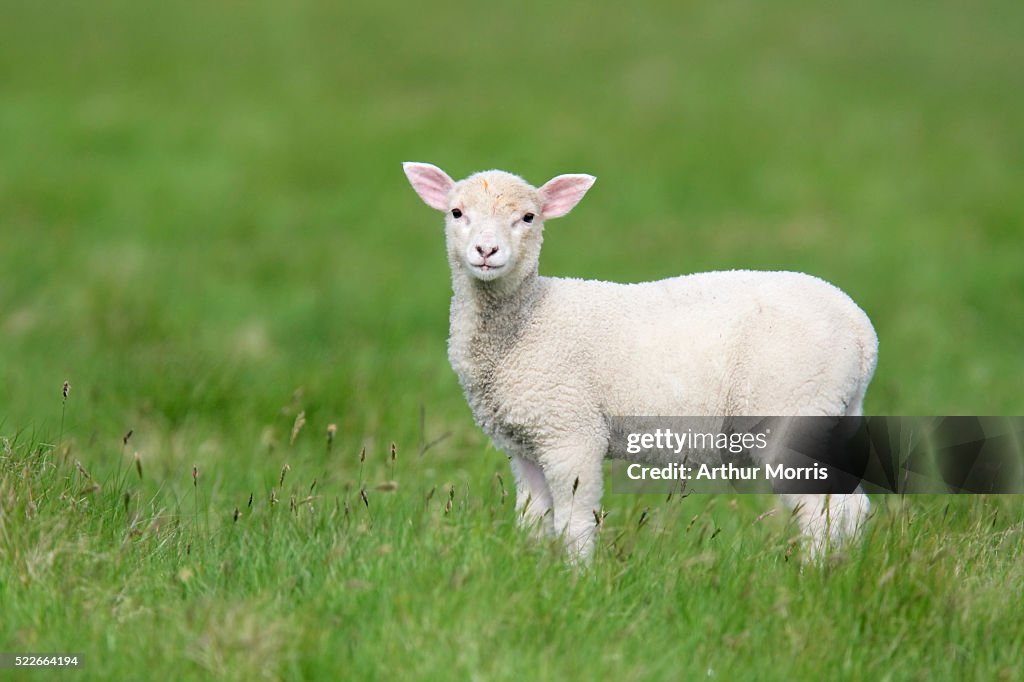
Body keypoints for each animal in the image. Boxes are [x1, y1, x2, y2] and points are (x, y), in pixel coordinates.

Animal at [403, 161, 878, 561]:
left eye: (529, 218)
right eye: (456, 212)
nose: (486, 251)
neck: (529, 318)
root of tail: (860, 328)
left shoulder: (570, 431)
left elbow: (573, 522)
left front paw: (577, 580)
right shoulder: (524, 442)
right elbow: (533, 520)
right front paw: (533, 570)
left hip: (793, 410)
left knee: (820, 511)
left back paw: (811, 575)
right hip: (835, 411)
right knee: (851, 506)